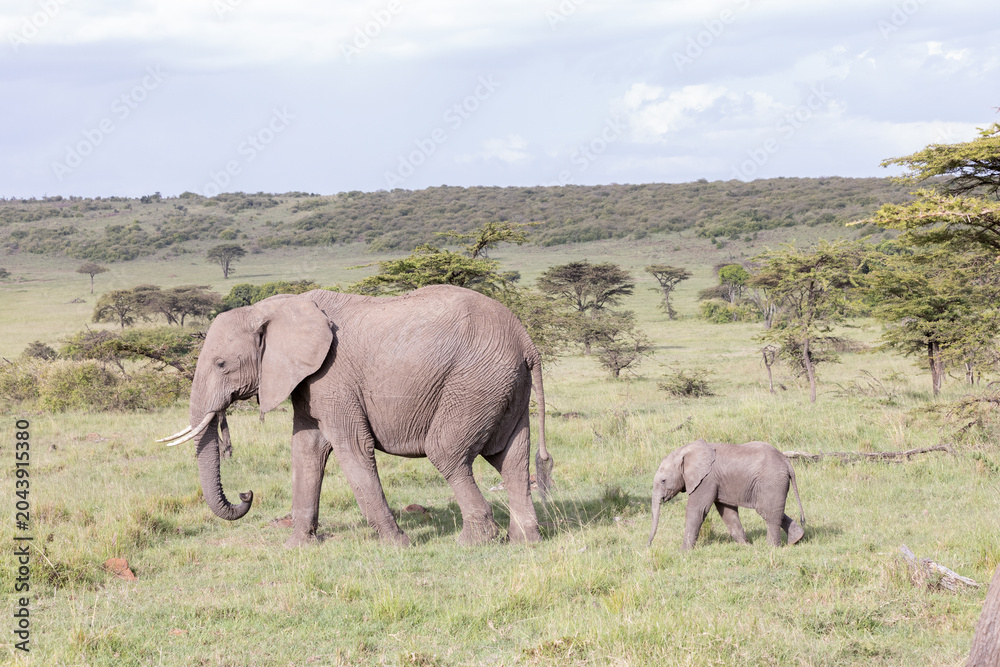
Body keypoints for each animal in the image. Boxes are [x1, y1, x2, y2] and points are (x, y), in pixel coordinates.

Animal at [157, 284, 552, 547]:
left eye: (221, 364)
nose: (246, 494)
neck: (272, 308)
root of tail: (526, 342)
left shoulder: (334, 378)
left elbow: (352, 449)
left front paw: (398, 545)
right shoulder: (310, 381)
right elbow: (306, 450)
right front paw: (299, 548)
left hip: (474, 383)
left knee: (447, 453)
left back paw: (474, 542)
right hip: (504, 387)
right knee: (511, 459)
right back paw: (526, 541)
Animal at [648, 439, 804, 550]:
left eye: (663, 481)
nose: (648, 546)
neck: (687, 451)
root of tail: (787, 462)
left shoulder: (706, 480)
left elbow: (697, 510)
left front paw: (682, 552)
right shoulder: (719, 482)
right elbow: (727, 512)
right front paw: (746, 546)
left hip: (771, 482)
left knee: (767, 512)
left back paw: (772, 548)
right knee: (772, 510)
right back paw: (797, 539)